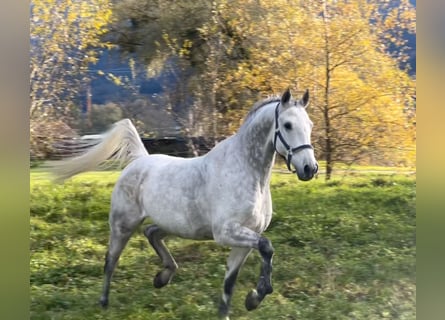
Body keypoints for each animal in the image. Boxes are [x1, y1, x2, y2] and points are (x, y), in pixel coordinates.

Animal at [51, 87, 316, 318]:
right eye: (287, 125)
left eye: (310, 125)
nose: (309, 168)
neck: (247, 172)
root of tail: (138, 161)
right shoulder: (227, 232)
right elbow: (267, 247)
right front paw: (256, 296)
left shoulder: (246, 237)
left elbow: (231, 281)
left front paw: (244, 303)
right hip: (122, 225)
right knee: (110, 260)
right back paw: (105, 302)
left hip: (173, 224)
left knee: (151, 232)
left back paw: (163, 276)